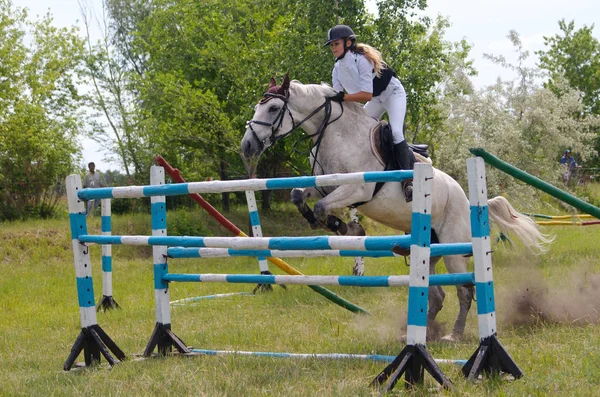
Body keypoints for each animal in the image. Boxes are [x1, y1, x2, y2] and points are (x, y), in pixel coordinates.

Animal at [241, 72, 552, 338]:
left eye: (273, 109)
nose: (247, 146)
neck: (336, 133)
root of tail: (466, 198)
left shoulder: (357, 188)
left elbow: (323, 208)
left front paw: (345, 228)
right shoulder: (323, 185)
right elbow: (298, 195)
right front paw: (334, 225)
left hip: (454, 248)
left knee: (464, 290)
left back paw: (453, 334)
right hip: (429, 252)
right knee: (436, 294)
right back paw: (420, 332)